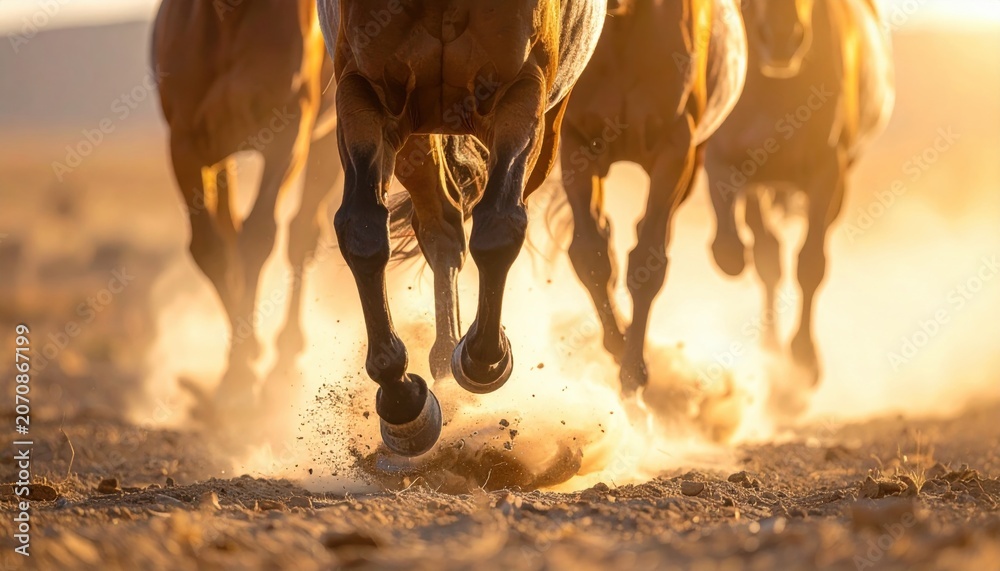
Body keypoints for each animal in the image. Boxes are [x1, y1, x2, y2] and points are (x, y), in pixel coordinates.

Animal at [152, 0, 343, 416]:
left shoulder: (288, 131)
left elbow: (257, 238)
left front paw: (241, 376)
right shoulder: (187, 143)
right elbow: (211, 250)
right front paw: (237, 369)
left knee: (301, 235)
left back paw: (284, 360)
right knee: (231, 233)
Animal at [317, 0, 606, 456]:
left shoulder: (520, 91)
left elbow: (500, 227)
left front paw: (484, 359)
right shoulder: (364, 92)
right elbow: (362, 232)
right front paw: (403, 402)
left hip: (548, 127)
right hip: (418, 135)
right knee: (442, 225)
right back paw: (440, 364)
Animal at [559, 0, 748, 394]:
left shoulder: (676, 146)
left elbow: (648, 262)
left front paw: (633, 372)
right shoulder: (575, 141)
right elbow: (589, 255)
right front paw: (618, 345)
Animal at [705, 0, 894, 387]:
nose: (781, 37)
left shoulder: (828, 172)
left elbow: (810, 264)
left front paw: (805, 358)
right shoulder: (725, 158)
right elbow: (733, 252)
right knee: (767, 256)